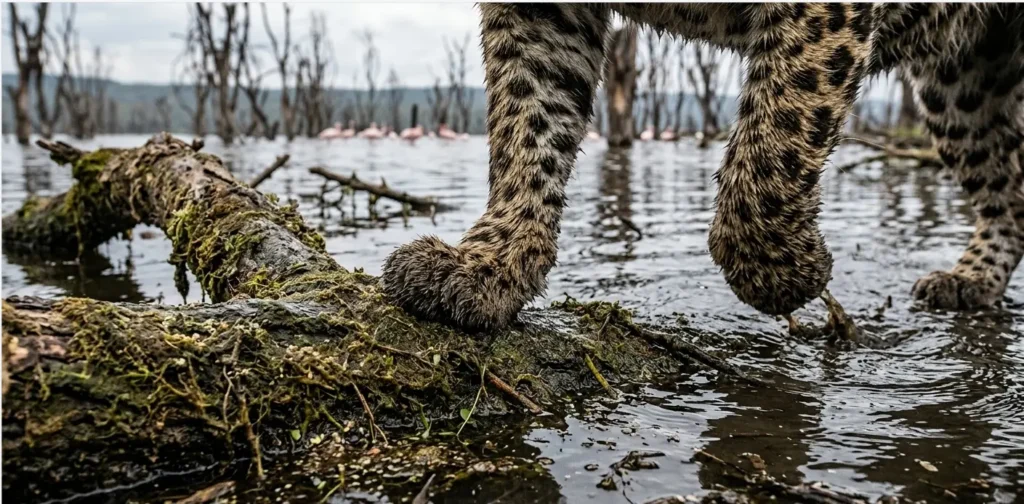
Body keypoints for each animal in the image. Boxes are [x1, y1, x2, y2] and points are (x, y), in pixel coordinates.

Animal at [382, 3, 1024, 331]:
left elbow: (779, 131)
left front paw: (791, 275)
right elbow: (526, 120)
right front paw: (489, 266)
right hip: (960, 81)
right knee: (1008, 193)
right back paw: (971, 280)